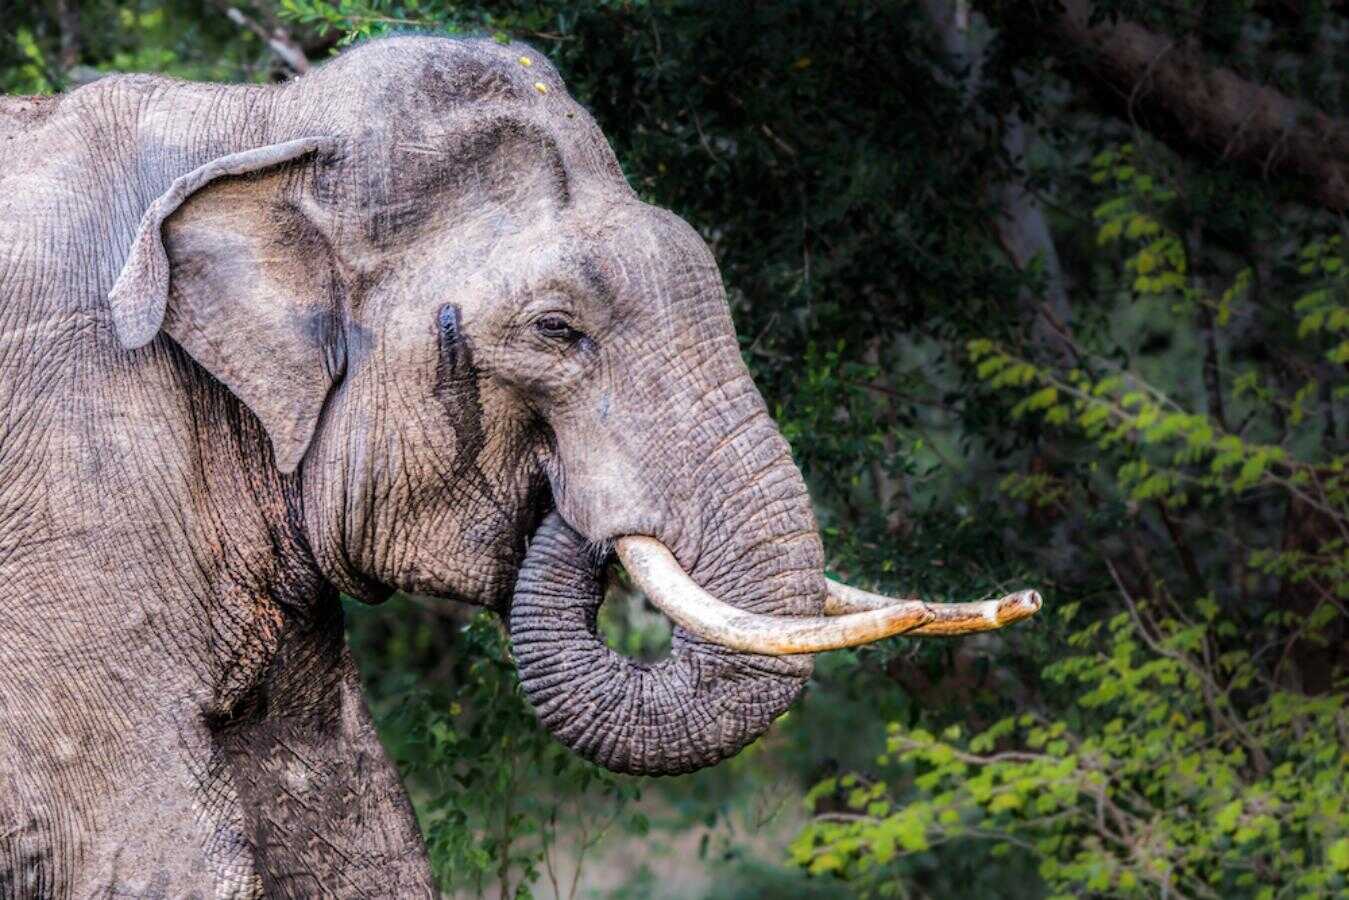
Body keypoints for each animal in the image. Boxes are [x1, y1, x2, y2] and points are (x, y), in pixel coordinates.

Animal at [0, 36, 1040, 898]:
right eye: (554, 330)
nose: (1025, 599)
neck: (264, 123)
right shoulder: (76, 488)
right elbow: (152, 846)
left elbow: (354, 817)